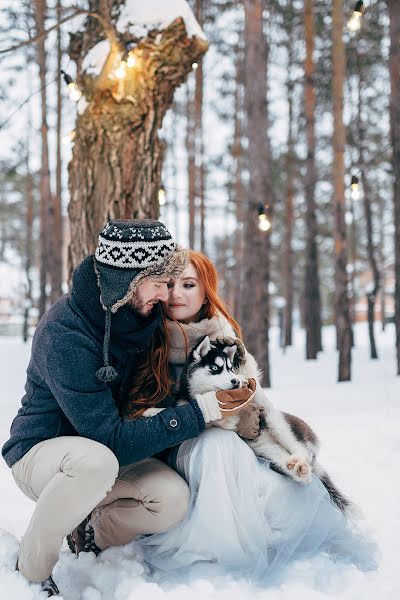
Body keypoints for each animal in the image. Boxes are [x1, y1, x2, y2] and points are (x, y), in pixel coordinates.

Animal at [144, 336, 350, 512]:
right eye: (215, 368)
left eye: (230, 369)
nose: (235, 381)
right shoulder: (197, 417)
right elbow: (182, 417)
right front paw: (151, 412)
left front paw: (243, 380)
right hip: (270, 453)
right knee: (298, 470)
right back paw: (299, 469)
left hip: (276, 421)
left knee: (301, 449)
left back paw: (300, 461)